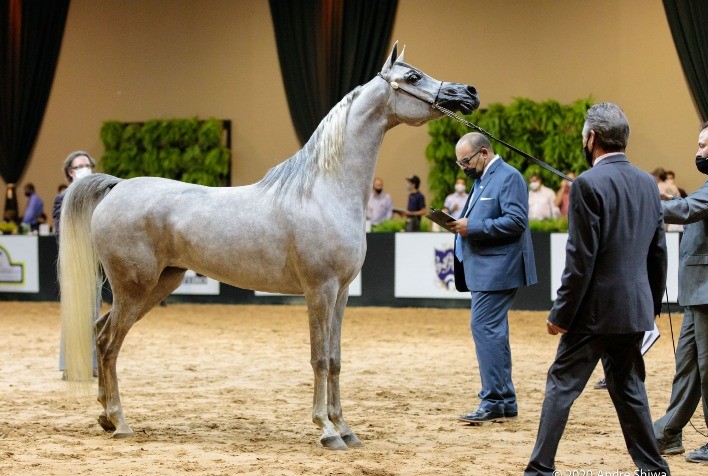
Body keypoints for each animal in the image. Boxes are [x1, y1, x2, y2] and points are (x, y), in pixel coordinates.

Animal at [59, 42, 479, 450]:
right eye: (413, 76)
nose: (468, 93)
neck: (323, 192)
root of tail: (117, 186)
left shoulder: (341, 293)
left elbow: (336, 358)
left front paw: (346, 428)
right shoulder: (320, 290)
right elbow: (319, 358)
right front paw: (326, 430)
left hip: (160, 284)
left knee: (99, 332)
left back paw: (104, 417)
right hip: (134, 288)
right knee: (109, 343)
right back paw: (120, 422)